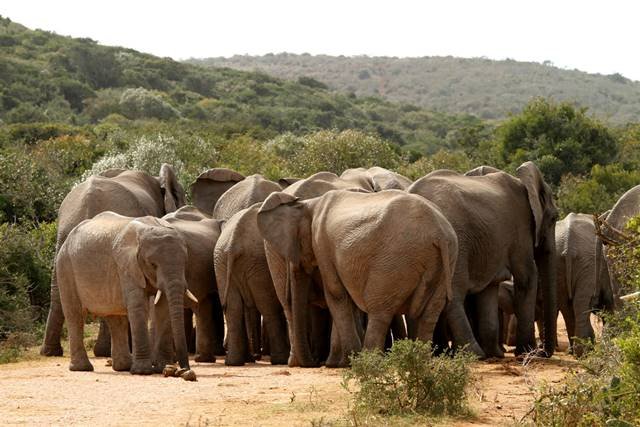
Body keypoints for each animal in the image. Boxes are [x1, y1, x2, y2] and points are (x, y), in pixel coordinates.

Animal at [56, 212, 196, 380]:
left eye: (185, 262)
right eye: (153, 264)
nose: (184, 370)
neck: (152, 226)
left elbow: (162, 306)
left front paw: (163, 368)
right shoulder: (127, 265)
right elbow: (138, 305)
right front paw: (143, 372)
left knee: (116, 319)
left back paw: (123, 367)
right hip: (65, 267)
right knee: (75, 315)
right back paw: (82, 368)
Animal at [258, 190, 458, 368]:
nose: (311, 364)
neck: (310, 204)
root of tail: (439, 233)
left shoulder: (321, 244)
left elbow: (336, 294)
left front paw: (345, 362)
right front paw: (339, 363)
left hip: (395, 261)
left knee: (379, 310)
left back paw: (368, 362)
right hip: (446, 259)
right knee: (430, 314)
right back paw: (421, 361)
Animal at [408, 162, 556, 360]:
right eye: (554, 218)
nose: (542, 352)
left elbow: (490, 287)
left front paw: (497, 354)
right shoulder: (521, 228)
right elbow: (526, 278)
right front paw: (525, 353)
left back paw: (444, 353)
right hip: (456, 240)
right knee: (454, 293)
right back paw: (474, 354)